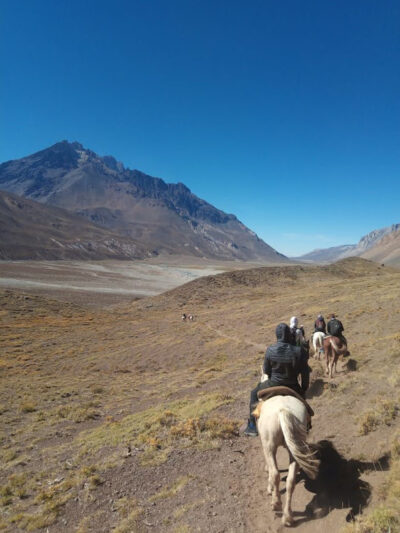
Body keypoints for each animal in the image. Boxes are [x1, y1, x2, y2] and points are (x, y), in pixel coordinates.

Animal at [253, 392, 318, 524]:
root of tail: (283, 410)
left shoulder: (266, 447)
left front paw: (269, 488)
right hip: (295, 447)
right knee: (290, 481)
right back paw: (288, 516)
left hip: (269, 446)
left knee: (275, 474)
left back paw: (276, 503)